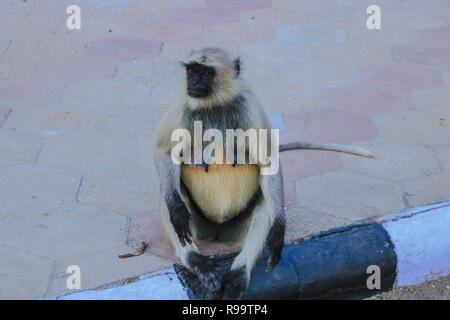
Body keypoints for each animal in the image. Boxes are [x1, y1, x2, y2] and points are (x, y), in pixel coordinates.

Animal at [153, 47, 374, 300]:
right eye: (191, 70)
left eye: (205, 72)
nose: (194, 82)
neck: (216, 104)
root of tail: (218, 232)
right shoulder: (183, 104)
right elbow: (164, 153)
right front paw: (176, 209)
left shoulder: (249, 105)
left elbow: (269, 161)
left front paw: (278, 230)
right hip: (199, 226)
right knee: (173, 198)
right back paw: (196, 261)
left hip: (236, 228)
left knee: (267, 204)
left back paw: (238, 274)